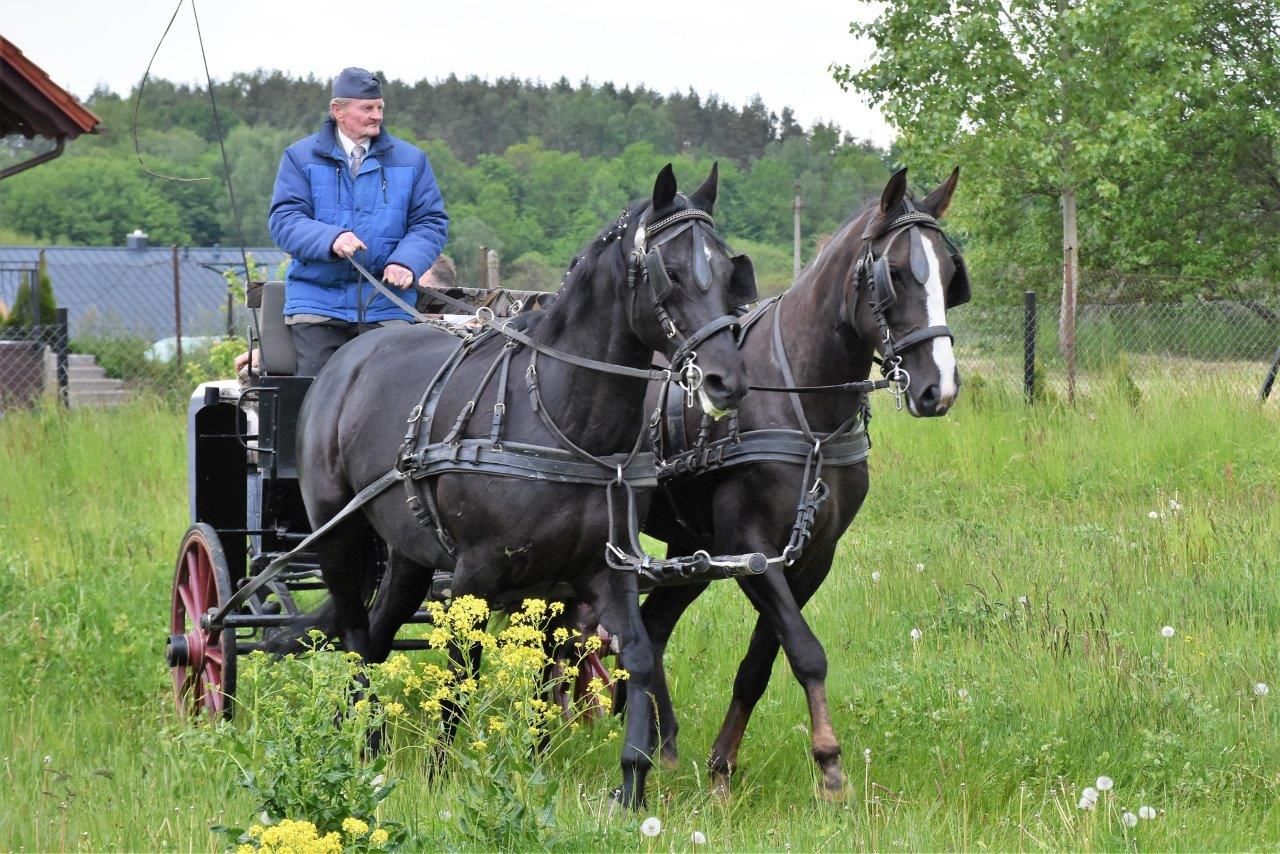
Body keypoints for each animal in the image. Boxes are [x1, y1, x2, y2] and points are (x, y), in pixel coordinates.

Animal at [282, 165, 747, 809]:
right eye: (669, 272)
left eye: (728, 270)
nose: (727, 380)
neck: (561, 419)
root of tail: (348, 358)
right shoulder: (475, 575)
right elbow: (461, 670)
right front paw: (440, 775)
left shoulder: (604, 569)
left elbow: (637, 655)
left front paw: (632, 780)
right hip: (339, 538)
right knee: (355, 635)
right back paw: (365, 742)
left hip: (407, 557)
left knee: (375, 637)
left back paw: (357, 737)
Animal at [634, 169, 962, 804]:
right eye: (896, 273)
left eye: (949, 271)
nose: (940, 388)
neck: (800, 408)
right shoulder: (751, 550)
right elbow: (806, 651)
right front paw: (830, 766)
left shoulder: (811, 557)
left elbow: (760, 662)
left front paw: (722, 767)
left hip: (692, 549)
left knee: (653, 625)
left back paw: (662, 742)